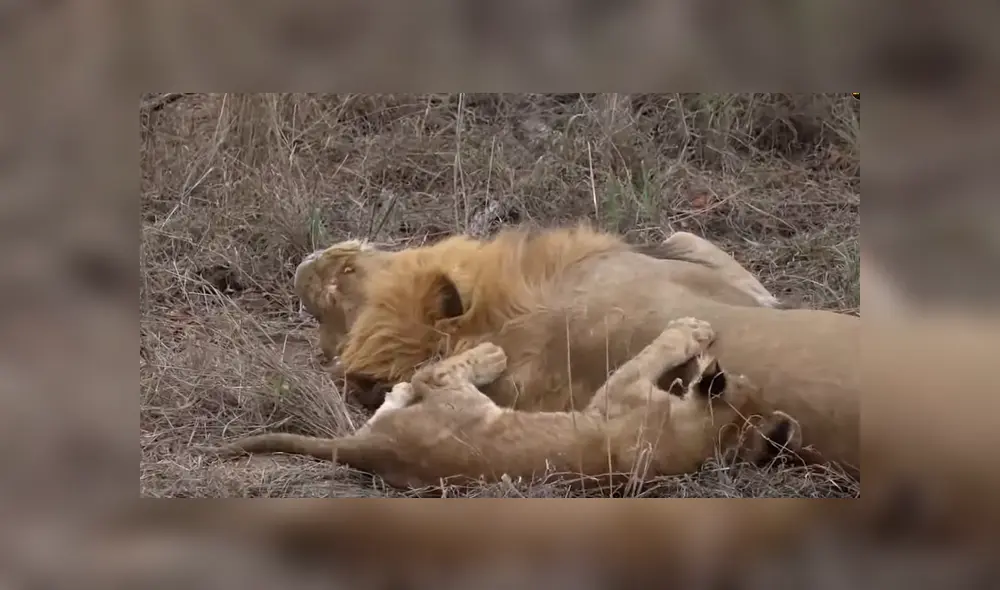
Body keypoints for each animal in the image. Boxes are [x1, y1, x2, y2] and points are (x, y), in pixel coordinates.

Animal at [217, 318, 801, 489]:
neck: (707, 437)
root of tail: (371, 453)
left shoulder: (619, 391)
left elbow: (656, 348)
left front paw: (692, 330)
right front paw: (696, 331)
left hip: (458, 405)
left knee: (430, 374)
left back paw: (490, 354)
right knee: (408, 388)